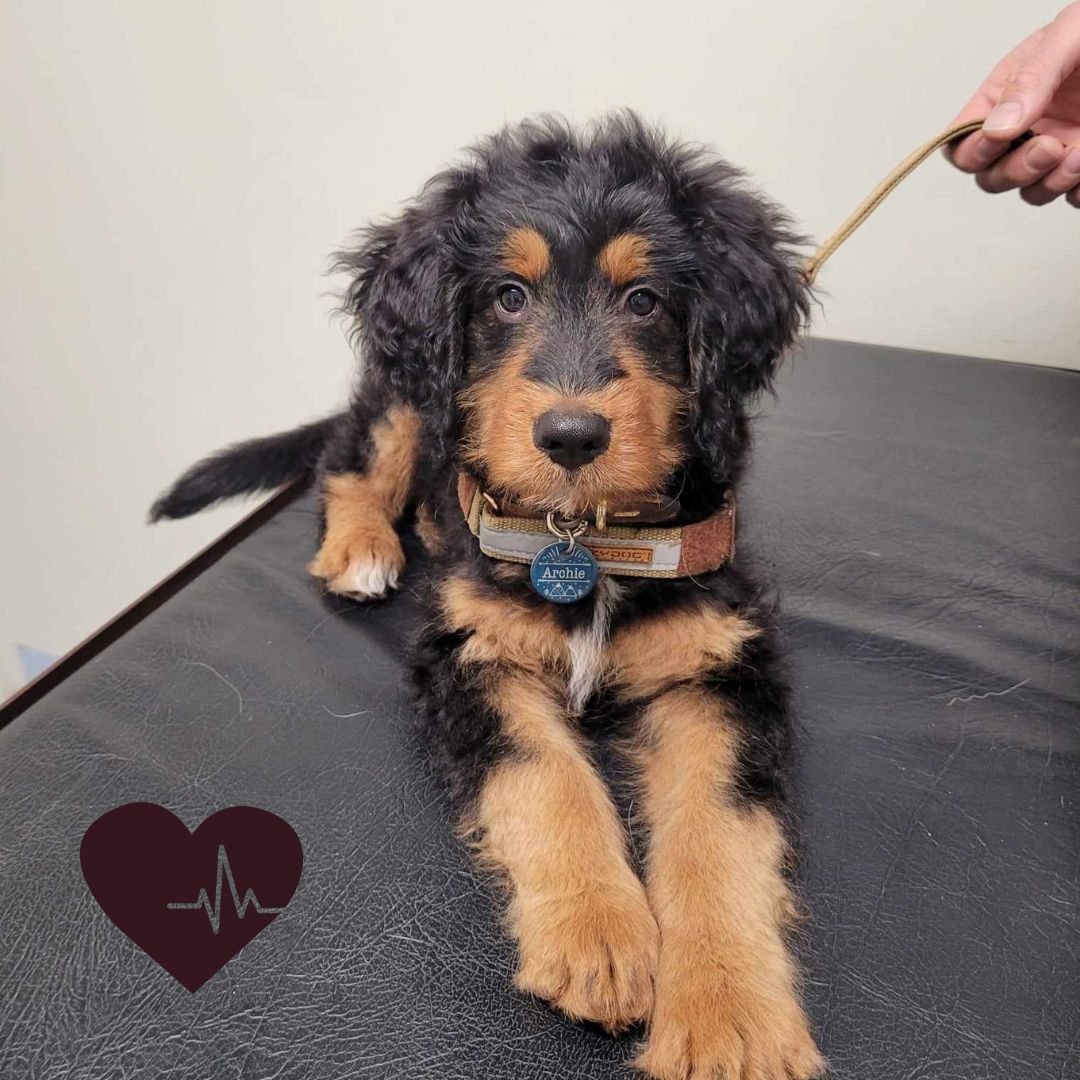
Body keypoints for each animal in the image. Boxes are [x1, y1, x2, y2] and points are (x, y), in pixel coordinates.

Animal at [154, 113, 825, 1075]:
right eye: (509, 296)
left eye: (645, 301)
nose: (572, 437)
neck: (585, 536)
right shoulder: (470, 654)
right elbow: (546, 774)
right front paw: (598, 936)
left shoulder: (721, 665)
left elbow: (719, 826)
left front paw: (730, 1021)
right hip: (405, 395)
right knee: (349, 462)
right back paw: (362, 549)